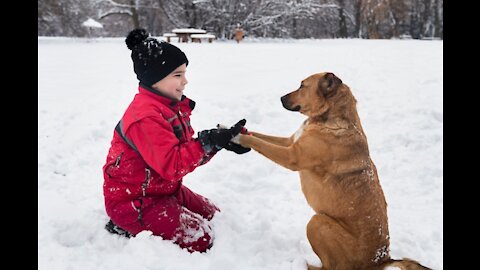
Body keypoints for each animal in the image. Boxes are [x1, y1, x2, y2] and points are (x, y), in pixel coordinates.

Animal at [236, 72, 432, 270]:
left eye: (302, 86)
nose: (281, 98)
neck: (331, 117)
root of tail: (382, 260)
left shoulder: (291, 156)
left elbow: (258, 142)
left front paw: (237, 137)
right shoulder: (290, 142)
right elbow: (260, 136)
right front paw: (232, 129)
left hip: (317, 222)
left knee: (329, 266)